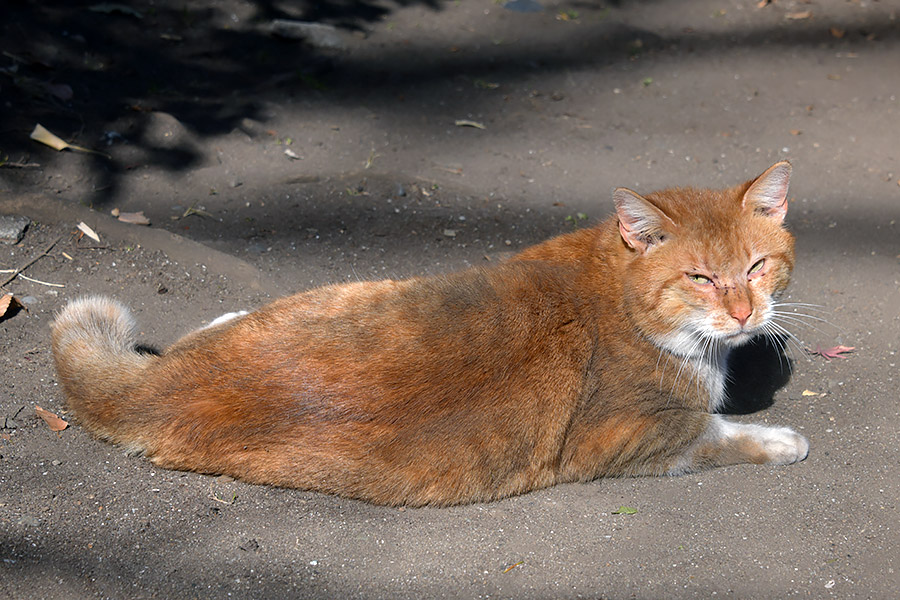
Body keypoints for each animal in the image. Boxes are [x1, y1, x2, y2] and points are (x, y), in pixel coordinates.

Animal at [49, 162, 808, 504]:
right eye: (701, 279)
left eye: (756, 266)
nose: (745, 313)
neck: (615, 289)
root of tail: (158, 387)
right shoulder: (636, 436)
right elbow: (717, 434)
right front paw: (780, 440)